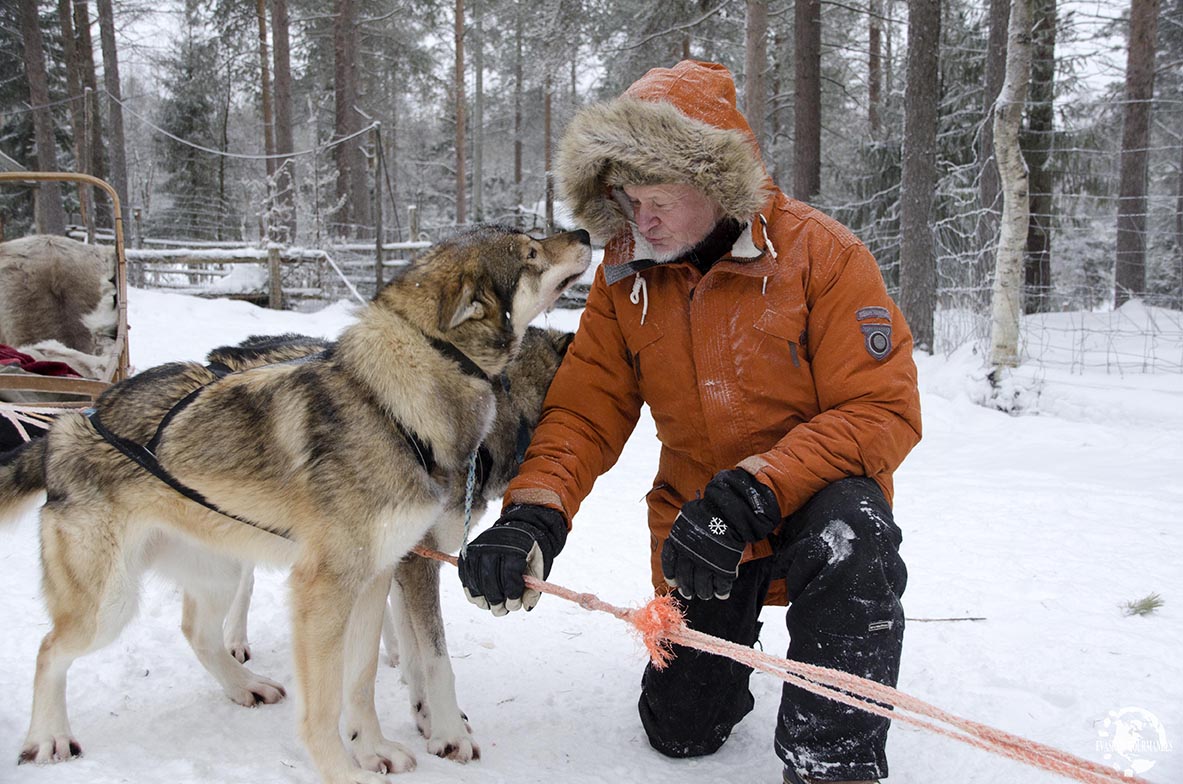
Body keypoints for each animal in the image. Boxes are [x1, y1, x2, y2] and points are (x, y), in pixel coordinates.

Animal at [0, 223, 591, 780]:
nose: (585, 234)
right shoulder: (332, 588)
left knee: (197, 631)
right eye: (530, 252)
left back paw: (244, 685)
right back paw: (48, 738)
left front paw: (375, 747)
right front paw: (363, 764)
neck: (392, 408)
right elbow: (353, 692)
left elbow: (362, 680)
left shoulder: (378, 577)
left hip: (215, 569)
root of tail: (70, 427)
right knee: (50, 650)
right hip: (109, 604)